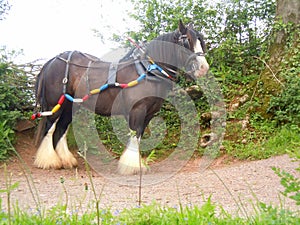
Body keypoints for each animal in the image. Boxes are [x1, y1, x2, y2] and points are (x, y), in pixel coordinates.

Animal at [32, 20, 209, 175]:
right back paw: (49, 161)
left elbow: (138, 137)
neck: (148, 70)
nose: (203, 68)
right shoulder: (137, 110)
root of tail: (53, 61)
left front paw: (138, 164)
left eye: (201, 40)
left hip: (69, 106)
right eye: (186, 41)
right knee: (50, 128)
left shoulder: (148, 114)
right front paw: (132, 166)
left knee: (61, 129)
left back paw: (66, 160)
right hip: (54, 105)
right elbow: (135, 135)